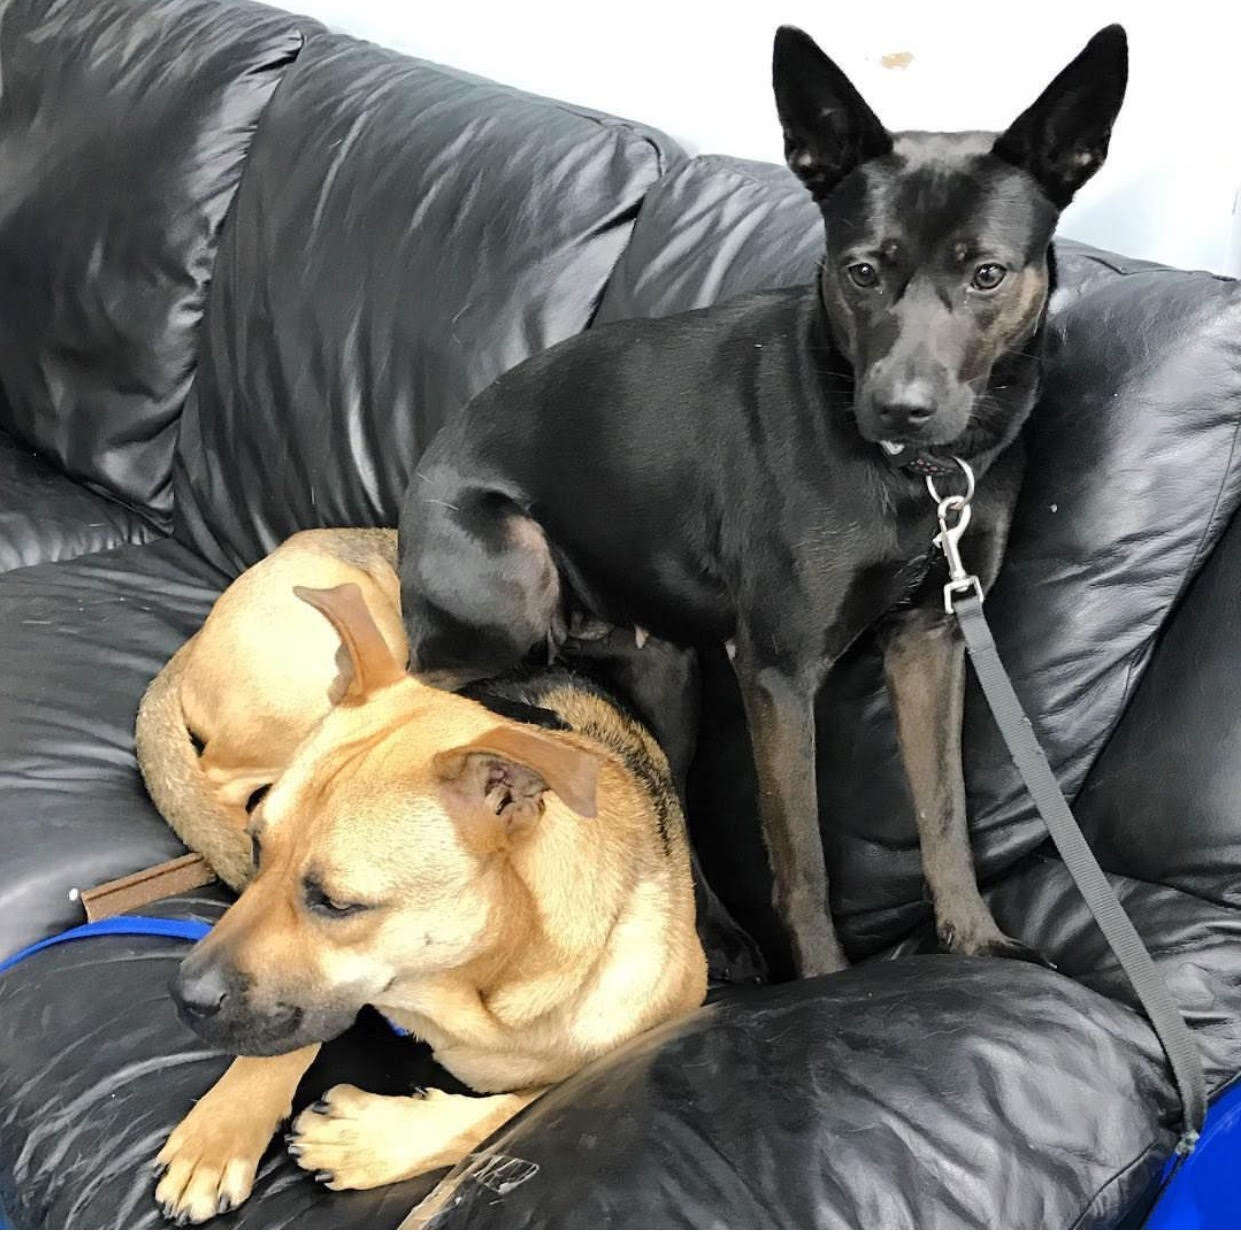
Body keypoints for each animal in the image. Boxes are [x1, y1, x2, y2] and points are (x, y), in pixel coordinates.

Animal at [133, 528, 709, 1226]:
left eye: (337, 904)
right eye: (261, 846)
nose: (180, 998)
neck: (470, 991)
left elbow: (499, 1114)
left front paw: (364, 1140)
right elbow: (293, 1029)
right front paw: (223, 1127)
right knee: (214, 779)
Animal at [397, 24, 1126, 972]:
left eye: (988, 275)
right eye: (861, 272)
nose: (899, 409)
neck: (917, 476)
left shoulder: (930, 641)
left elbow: (943, 810)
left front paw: (972, 939)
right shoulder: (778, 673)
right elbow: (802, 857)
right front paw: (822, 978)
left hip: (667, 668)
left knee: (669, 794)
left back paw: (721, 939)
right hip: (513, 568)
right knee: (429, 681)